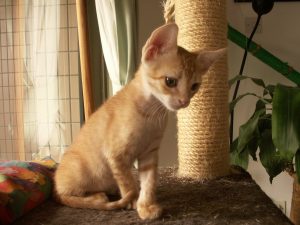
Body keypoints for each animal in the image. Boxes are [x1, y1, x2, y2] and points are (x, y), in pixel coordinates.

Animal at [54, 22, 225, 220]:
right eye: (170, 81)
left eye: (194, 86)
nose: (184, 101)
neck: (150, 115)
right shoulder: (115, 154)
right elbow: (128, 182)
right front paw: (134, 200)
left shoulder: (149, 153)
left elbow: (149, 182)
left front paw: (146, 205)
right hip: (81, 170)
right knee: (67, 195)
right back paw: (96, 197)